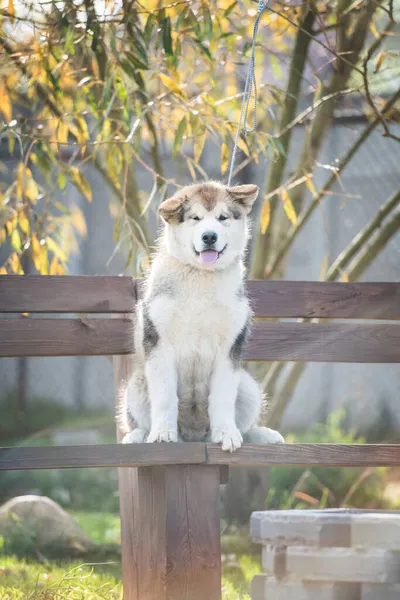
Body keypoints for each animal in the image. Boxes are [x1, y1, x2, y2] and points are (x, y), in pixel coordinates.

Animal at [119, 180, 284, 452]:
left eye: (222, 218)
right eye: (195, 218)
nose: (209, 236)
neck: (201, 278)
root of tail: (194, 437)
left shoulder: (229, 348)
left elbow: (223, 398)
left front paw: (226, 433)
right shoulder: (159, 343)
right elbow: (164, 397)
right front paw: (162, 434)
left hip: (248, 386)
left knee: (244, 422)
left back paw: (261, 434)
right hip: (136, 384)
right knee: (140, 418)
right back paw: (139, 436)